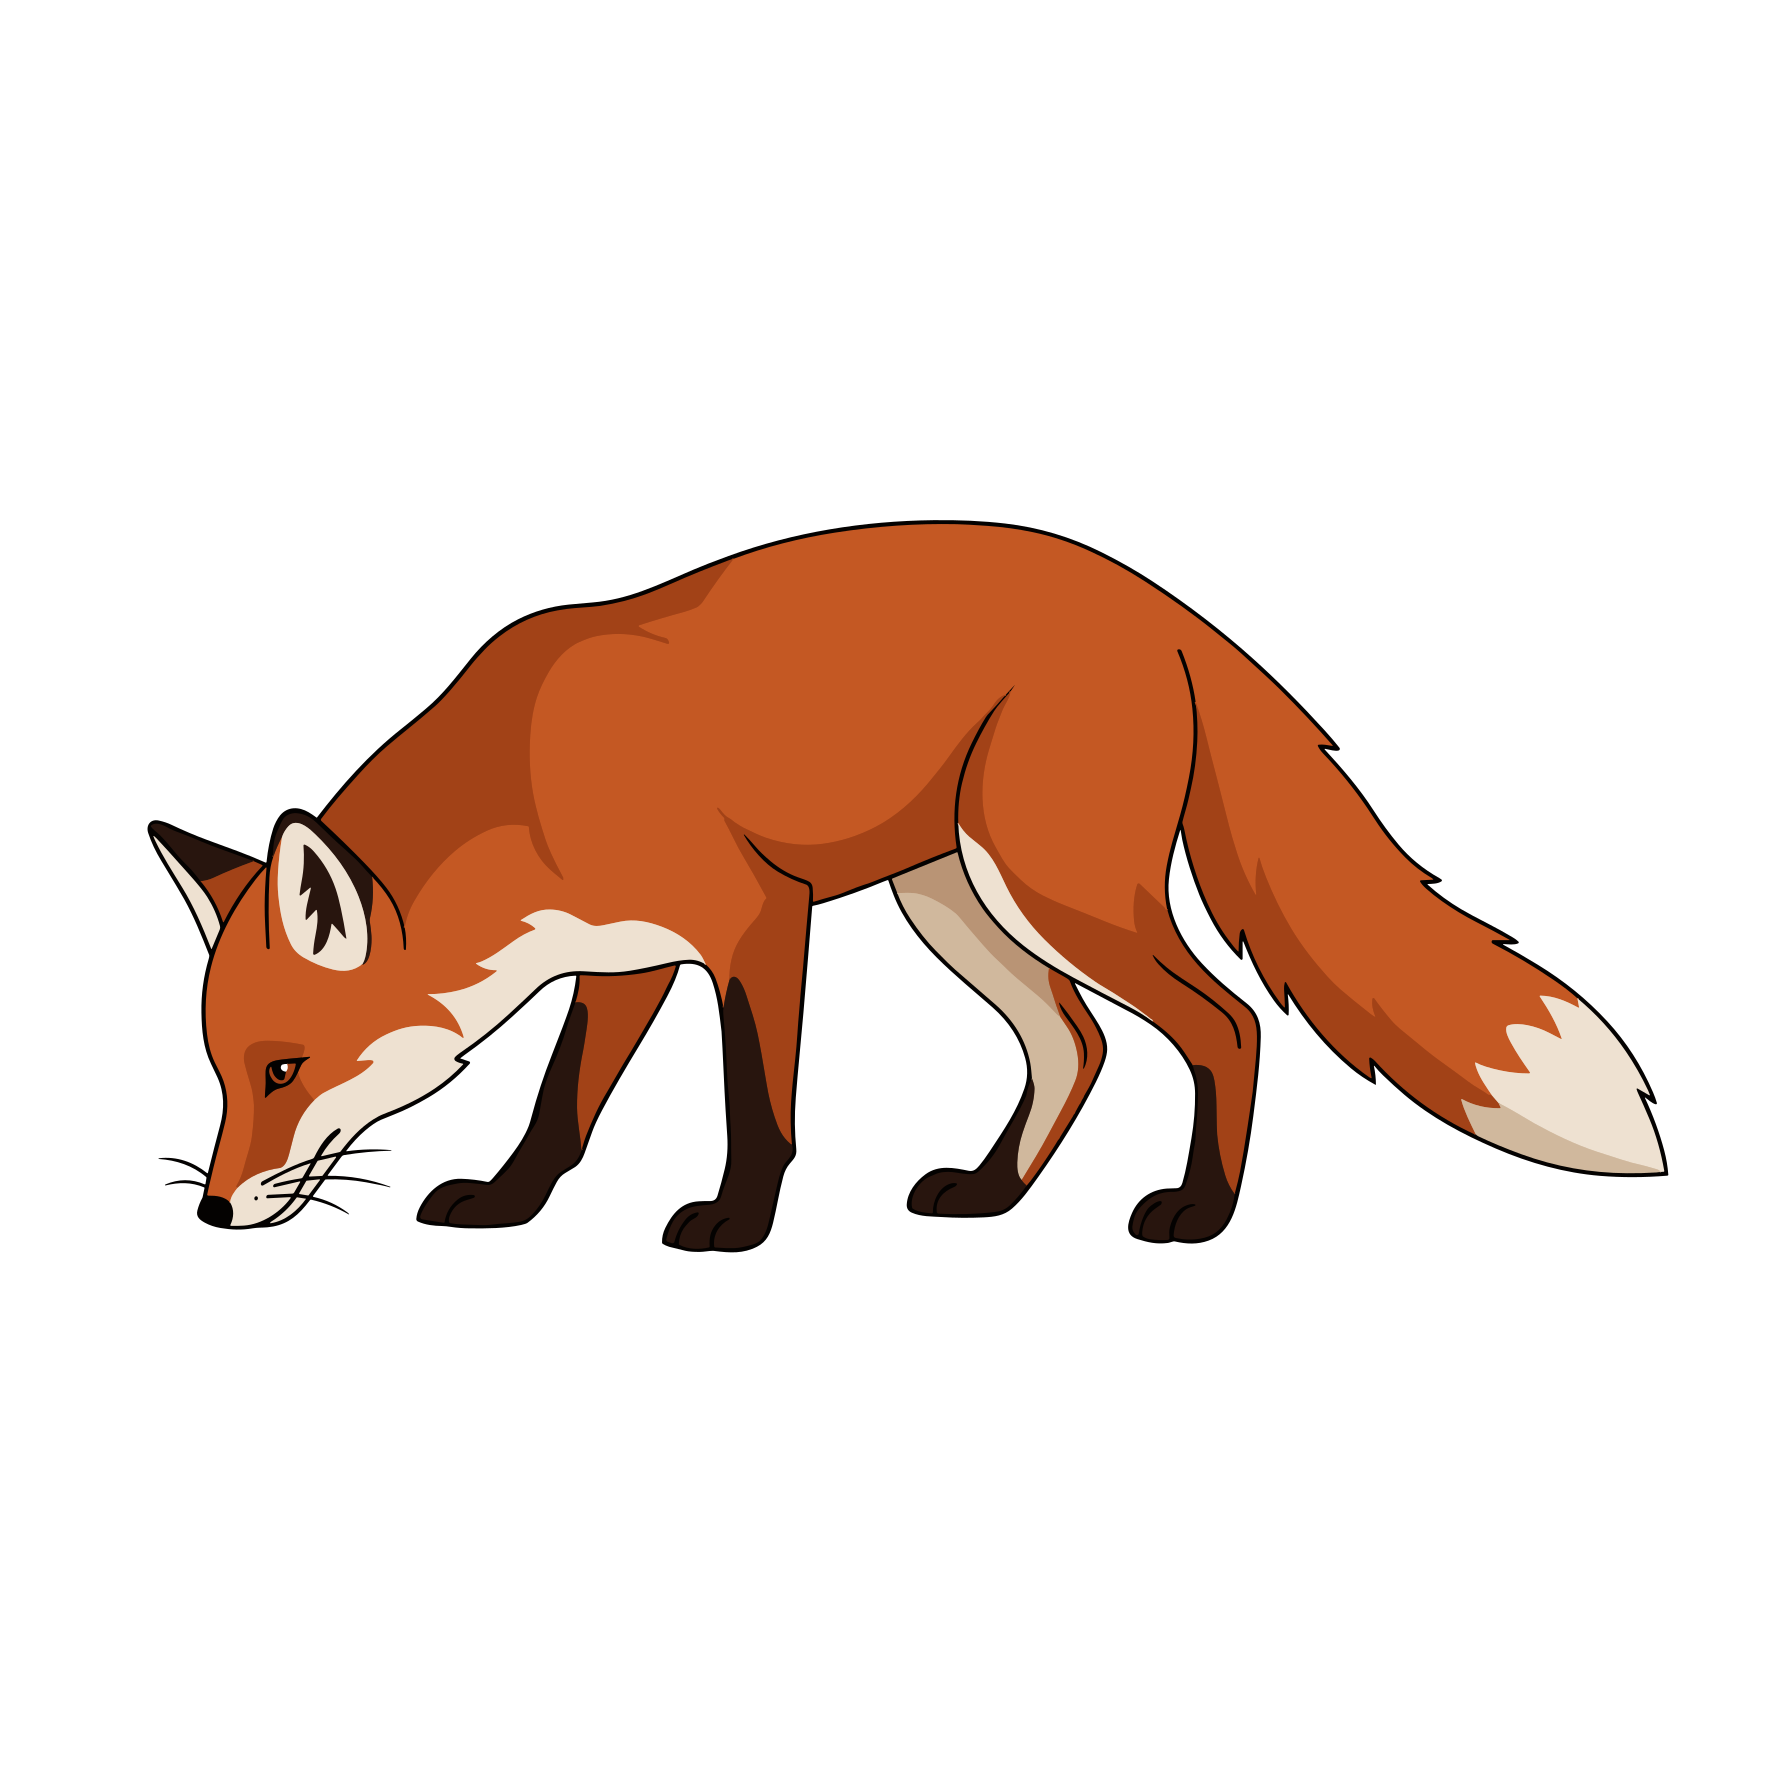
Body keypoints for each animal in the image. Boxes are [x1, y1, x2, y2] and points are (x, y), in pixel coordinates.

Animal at [150, 521, 1663, 1245]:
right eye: (223, 1072)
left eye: (283, 1069)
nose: (211, 1210)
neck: (525, 781)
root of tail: (1164, 604)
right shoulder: (622, 959)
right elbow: (558, 1109)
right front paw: (511, 1204)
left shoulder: (751, 925)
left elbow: (758, 1106)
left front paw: (735, 1226)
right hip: (954, 902)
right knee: (1078, 1042)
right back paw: (992, 1192)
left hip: (1045, 888)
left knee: (1222, 1025)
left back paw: (1199, 1214)